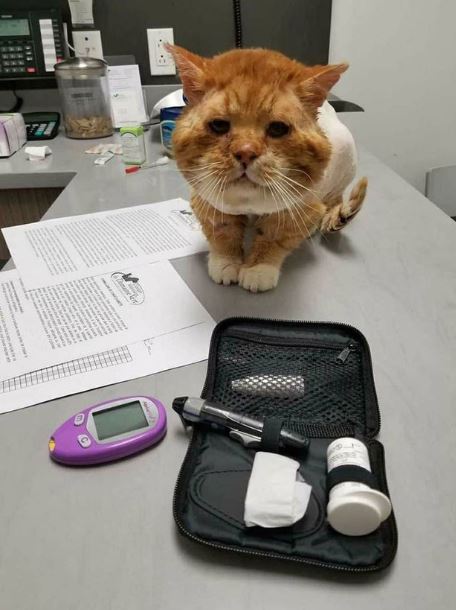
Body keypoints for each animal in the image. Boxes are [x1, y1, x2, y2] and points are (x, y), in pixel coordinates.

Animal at [167, 44, 366, 290]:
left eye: (278, 129)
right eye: (219, 125)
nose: (246, 152)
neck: (250, 206)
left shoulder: (299, 208)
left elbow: (276, 238)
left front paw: (258, 270)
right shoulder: (206, 201)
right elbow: (223, 233)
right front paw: (225, 263)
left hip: (343, 156)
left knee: (334, 201)